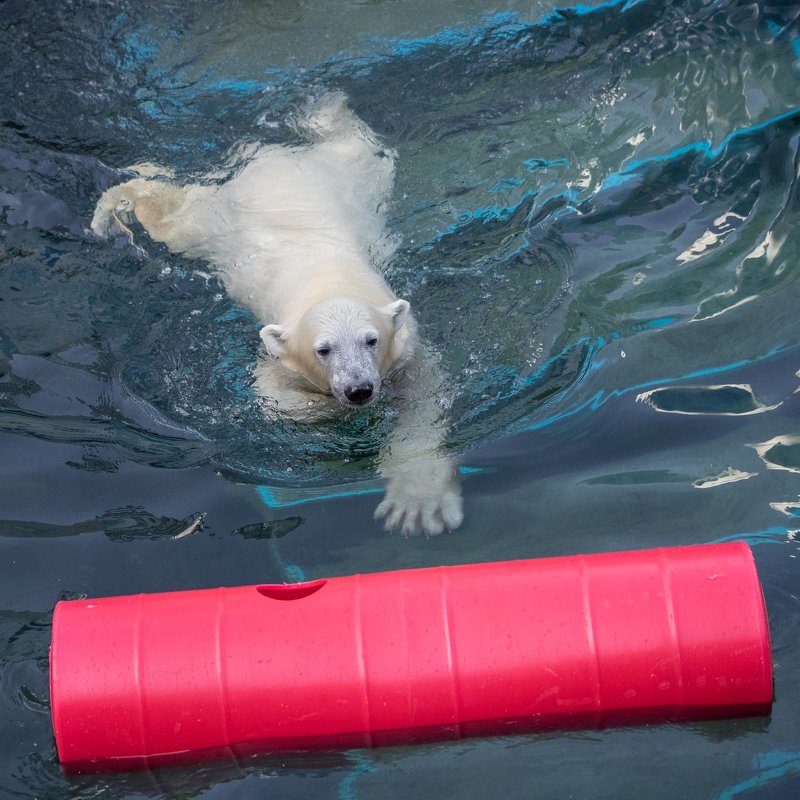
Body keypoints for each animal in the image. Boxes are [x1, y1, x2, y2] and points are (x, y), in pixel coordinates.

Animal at [89, 94, 462, 536]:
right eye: (323, 349)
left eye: (371, 340)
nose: (358, 389)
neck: (332, 281)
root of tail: (270, 156)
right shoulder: (275, 353)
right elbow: (277, 400)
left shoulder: (407, 352)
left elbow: (422, 404)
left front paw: (419, 503)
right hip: (214, 222)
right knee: (169, 213)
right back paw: (110, 212)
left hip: (360, 176)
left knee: (355, 145)